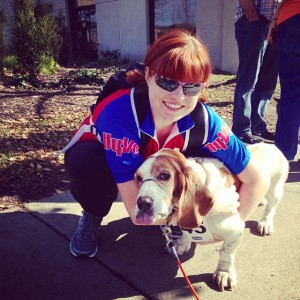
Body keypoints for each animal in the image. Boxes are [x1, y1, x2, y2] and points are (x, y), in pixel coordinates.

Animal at [134, 143, 288, 290]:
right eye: (138, 178)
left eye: (164, 176)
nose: (142, 203)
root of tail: (271, 146)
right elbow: (185, 234)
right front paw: (180, 245)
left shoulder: (235, 233)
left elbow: (226, 253)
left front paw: (224, 273)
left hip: (275, 191)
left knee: (271, 208)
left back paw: (266, 223)